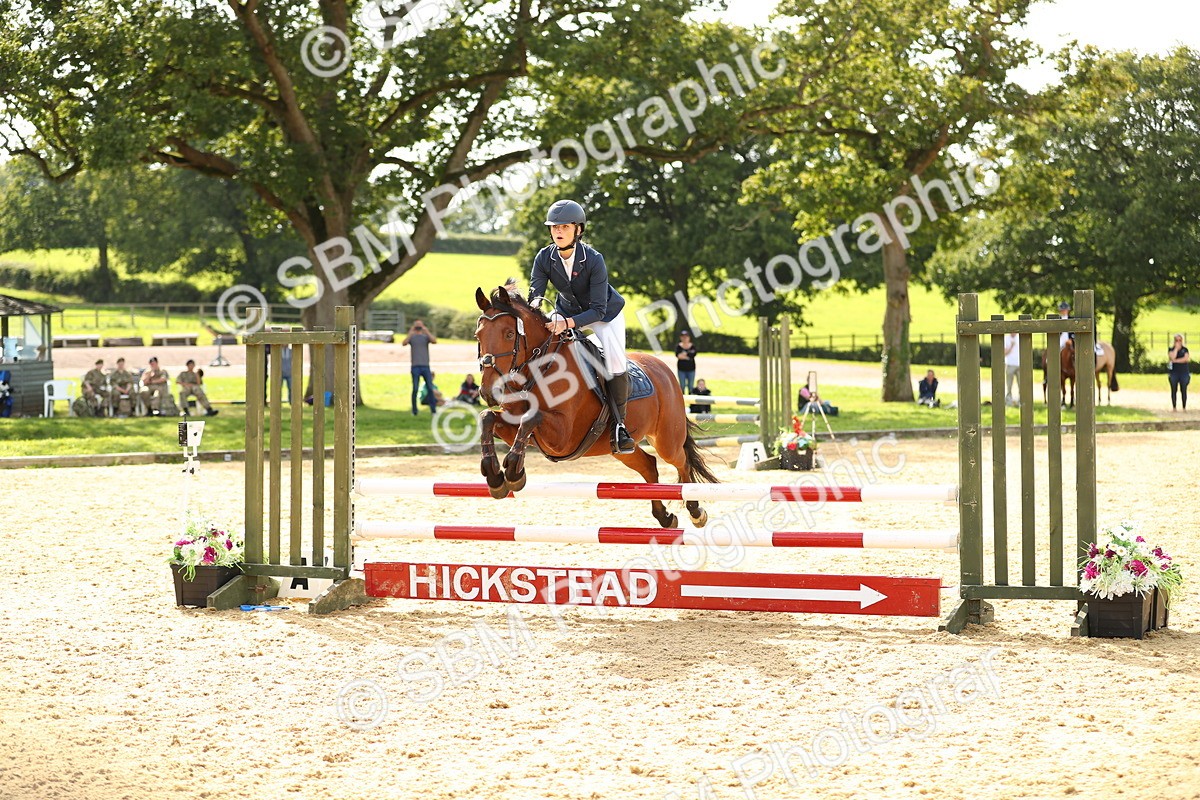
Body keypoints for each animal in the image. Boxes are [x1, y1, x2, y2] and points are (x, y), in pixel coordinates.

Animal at [474, 287, 718, 528]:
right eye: (478, 335)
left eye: (509, 334)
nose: (488, 391)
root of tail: (665, 370)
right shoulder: (515, 425)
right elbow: (488, 417)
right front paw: (495, 476)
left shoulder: (562, 437)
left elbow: (531, 418)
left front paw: (513, 472)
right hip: (620, 450)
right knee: (649, 465)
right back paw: (664, 516)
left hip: (667, 440)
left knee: (682, 462)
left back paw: (695, 510)